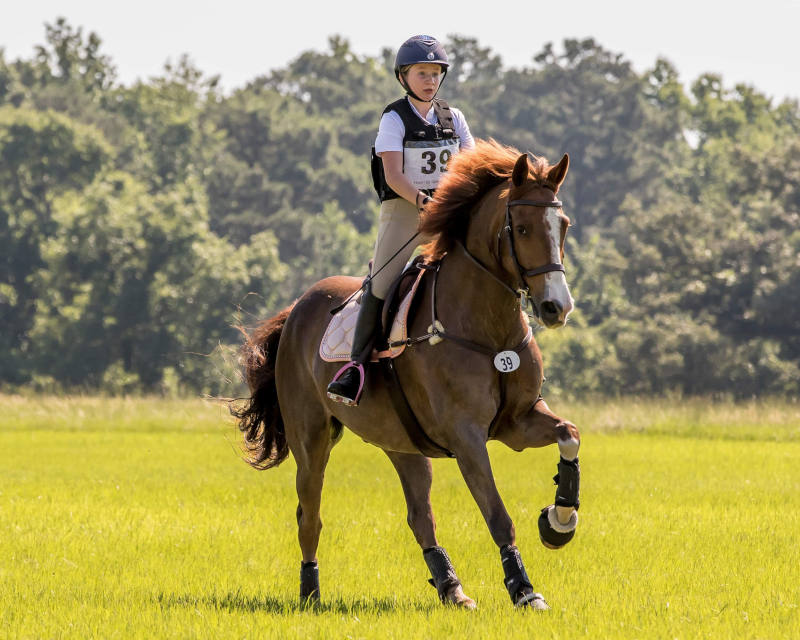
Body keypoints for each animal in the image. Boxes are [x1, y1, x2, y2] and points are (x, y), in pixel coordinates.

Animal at [234, 139, 581, 610]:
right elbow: (498, 514)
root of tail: (297, 309)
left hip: (402, 441)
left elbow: (569, 434)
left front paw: (558, 520)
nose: (555, 308)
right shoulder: (467, 436)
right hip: (311, 437)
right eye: (523, 228)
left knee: (419, 516)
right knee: (310, 514)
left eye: (562, 225)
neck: (488, 330)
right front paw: (524, 590)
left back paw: (451, 588)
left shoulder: (517, 422)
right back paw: (311, 593)